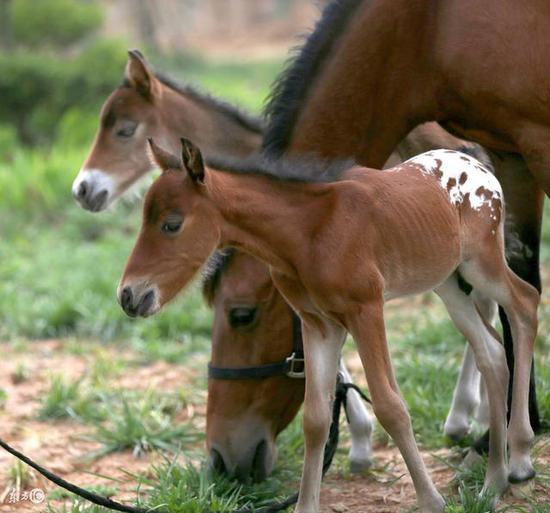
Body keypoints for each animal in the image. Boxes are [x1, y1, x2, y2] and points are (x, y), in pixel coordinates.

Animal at [119, 140, 540, 512]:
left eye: (172, 225)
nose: (128, 295)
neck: (308, 231)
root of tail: (478, 165)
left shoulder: (366, 310)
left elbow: (390, 405)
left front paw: (431, 502)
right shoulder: (318, 323)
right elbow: (316, 418)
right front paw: (306, 506)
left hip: (480, 263)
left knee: (525, 303)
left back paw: (519, 455)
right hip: (447, 282)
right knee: (492, 352)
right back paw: (493, 481)